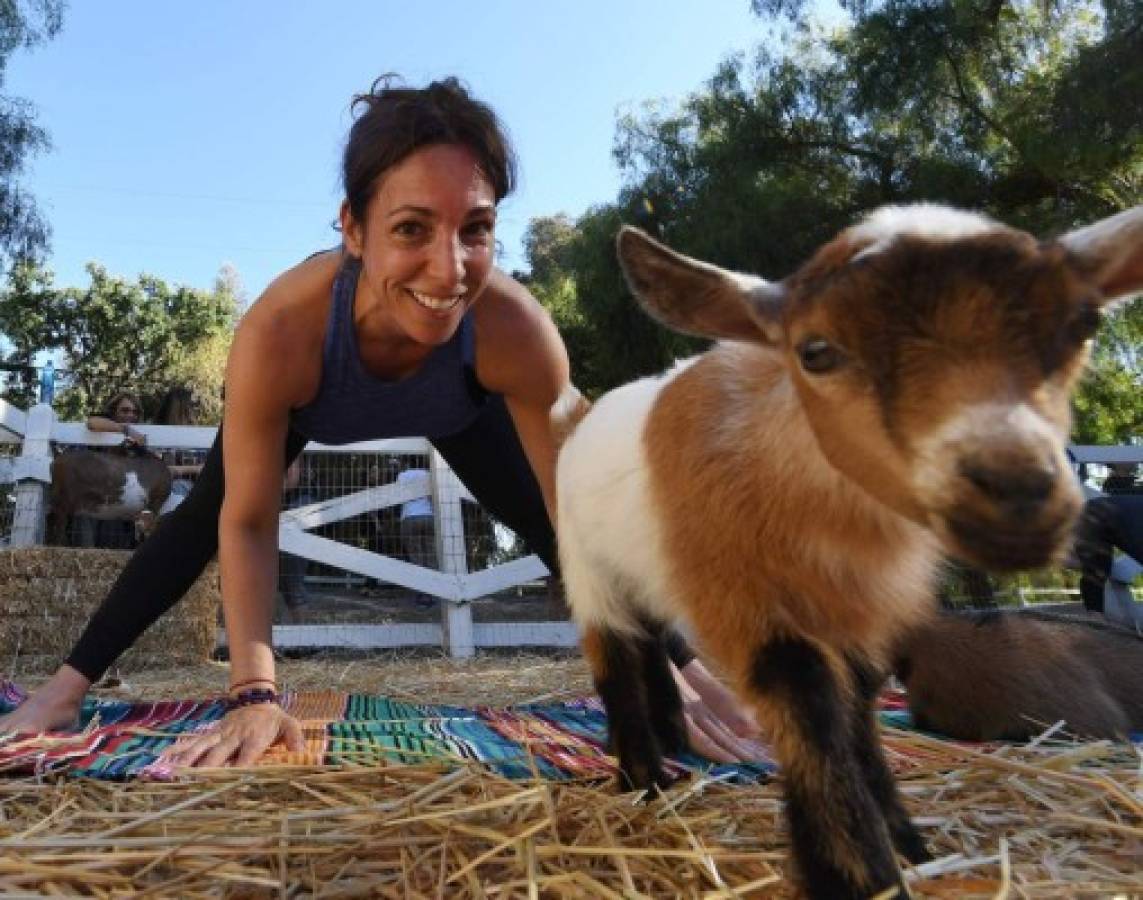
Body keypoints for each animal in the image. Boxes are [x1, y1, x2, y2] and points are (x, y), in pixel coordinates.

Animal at [553, 204, 1143, 900]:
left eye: (1084, 325)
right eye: (815, 351)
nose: (1019, 488)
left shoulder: (866, 618)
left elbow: (858, 711)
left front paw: (905, 841)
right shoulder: (747, 604)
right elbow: (810, 709)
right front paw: (857, 872)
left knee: (651, 638)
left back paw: (673, 737)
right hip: (587, 569)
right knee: (615, 655)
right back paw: (643, 778)